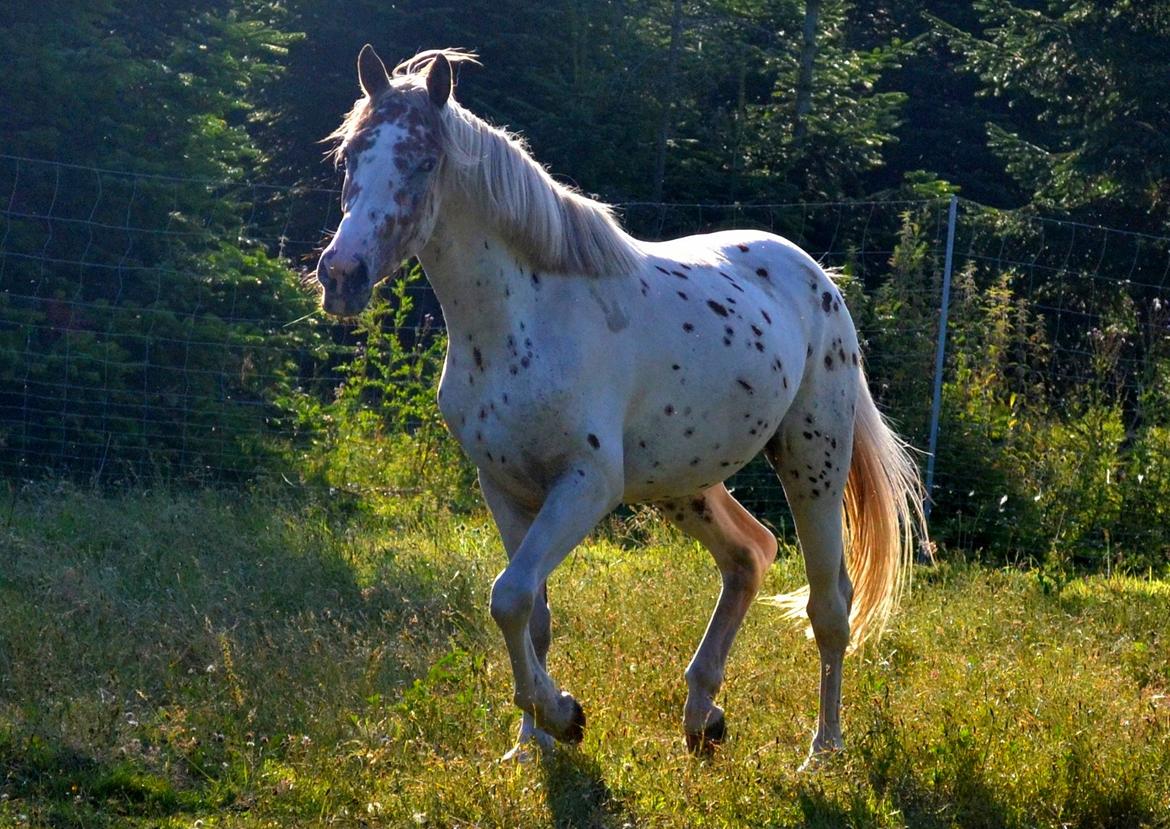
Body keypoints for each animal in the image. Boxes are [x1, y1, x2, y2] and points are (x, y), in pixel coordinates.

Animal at [315, 45, 926, 771]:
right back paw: (702, 718)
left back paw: (821, 752)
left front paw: (563, 716)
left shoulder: (587, 484)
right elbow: (529, 612)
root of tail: (817, 278)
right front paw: (533, 744)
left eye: (424, 161)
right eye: (349, 156)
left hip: (813, 460)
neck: (525, 317)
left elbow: (508, 595)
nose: (341, 275)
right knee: (749, 555)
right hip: (684, 485)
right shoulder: (504, 487)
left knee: (830, 607)